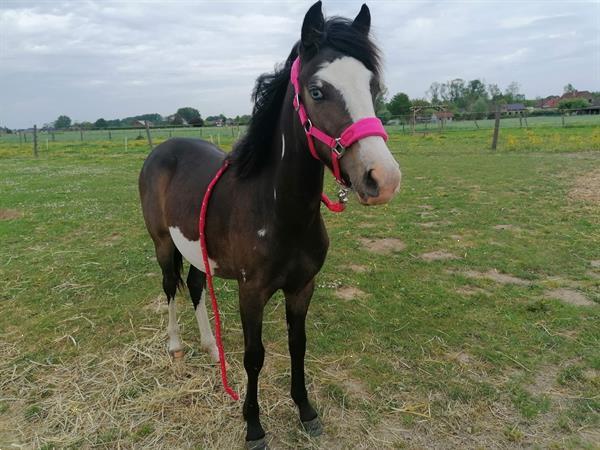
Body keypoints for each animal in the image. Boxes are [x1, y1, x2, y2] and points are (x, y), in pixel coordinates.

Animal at [140, 2, 400, 446]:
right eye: (317, 90)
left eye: (373, 87)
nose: (382, 178)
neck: (279, 211)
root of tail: (163, 148)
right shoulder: (252, 292)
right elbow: (254, 356)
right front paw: (254, 426)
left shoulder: (302, 287)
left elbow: (298, 345)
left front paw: (307, 412)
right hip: (163, 244)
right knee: (170, 287)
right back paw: (176, 348)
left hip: (197, 249)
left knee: (194, 286)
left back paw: (211, 349)